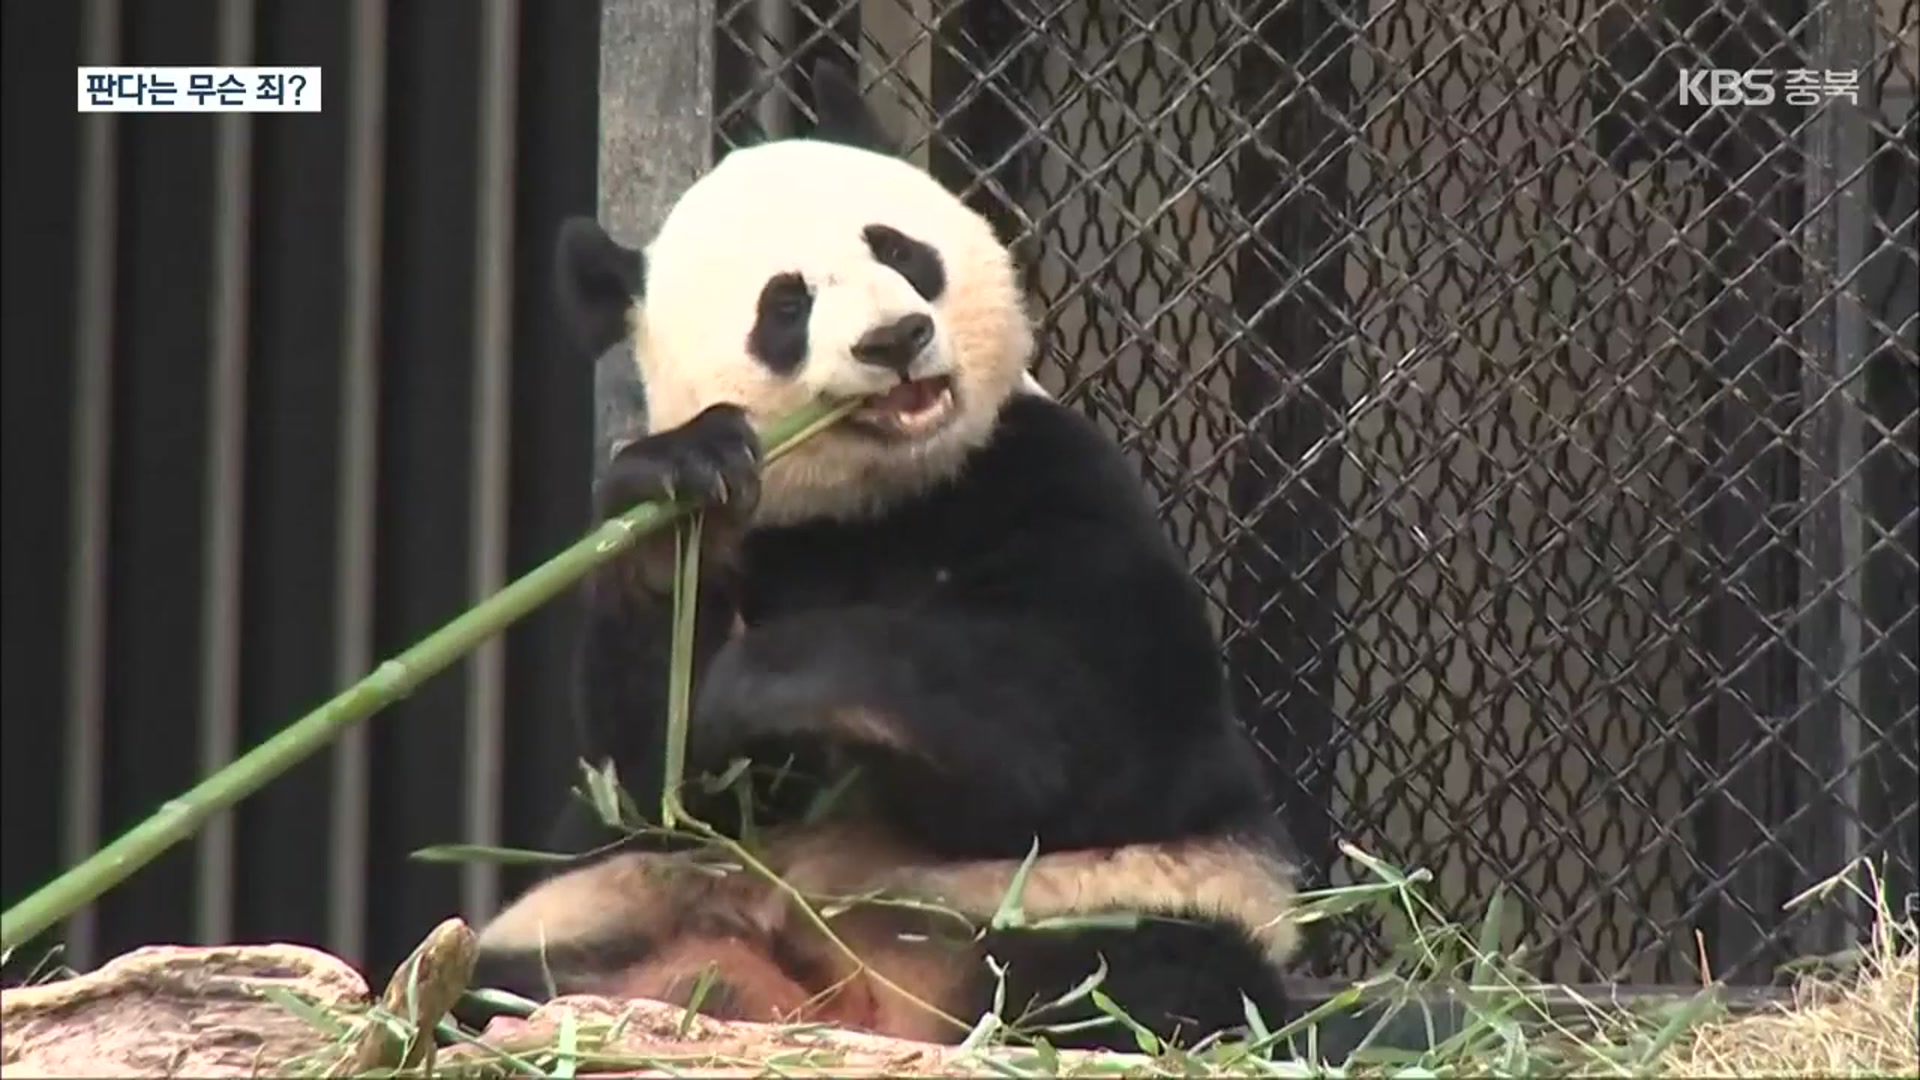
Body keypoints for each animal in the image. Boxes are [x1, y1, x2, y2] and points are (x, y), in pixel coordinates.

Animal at [462, 62, 1305, 1045]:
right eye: (786, 306)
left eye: (900, 252)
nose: (895, 339)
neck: (873, 502)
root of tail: (859, 998)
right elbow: (651, 786)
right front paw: (679, 497)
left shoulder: (1051, 474)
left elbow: (1103, 716)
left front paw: (770, 678)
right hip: (598, 909)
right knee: (510, 974)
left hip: (1102, 904)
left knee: (1149, 975)